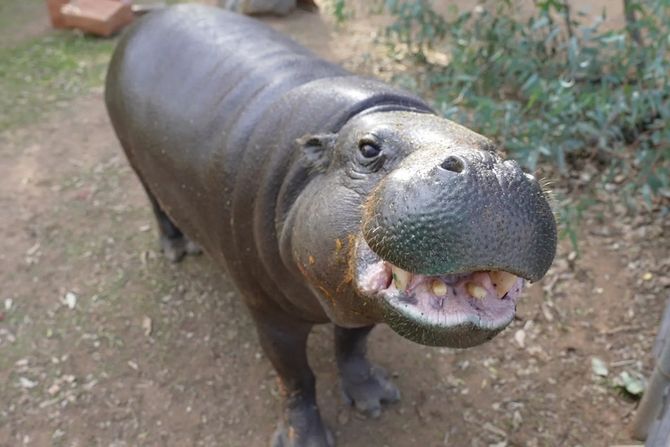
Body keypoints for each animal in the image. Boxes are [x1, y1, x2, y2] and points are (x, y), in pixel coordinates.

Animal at [105, 4, 557, 446]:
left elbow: (353, 345)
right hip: (134, 161)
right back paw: (178, 249)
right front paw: (304, 439)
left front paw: (374, 399)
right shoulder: (268, 312)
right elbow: (296, 378)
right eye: (368, 149)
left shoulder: (357, 303)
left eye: (491, 145)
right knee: (156, 204)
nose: (491, 169)